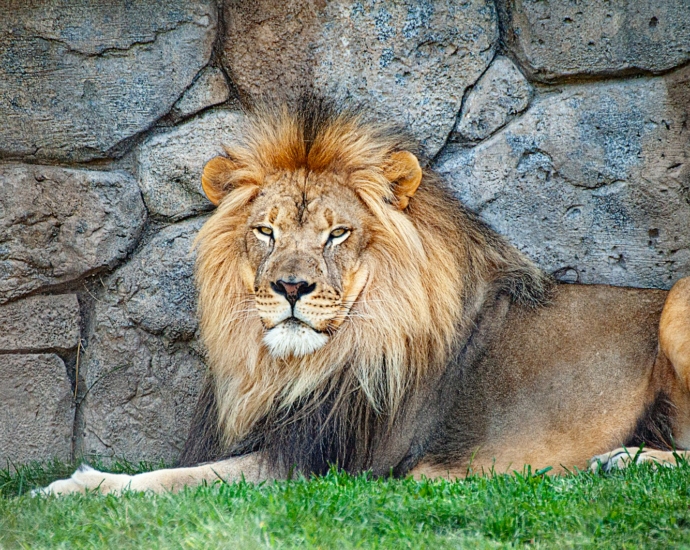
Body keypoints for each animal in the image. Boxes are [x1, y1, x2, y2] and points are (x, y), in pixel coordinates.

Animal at [40, 98, 688, 496]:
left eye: (337, 234)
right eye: (266, 231)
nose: (291, 287)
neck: (295, 368)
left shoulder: (323, 465)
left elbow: (179, 479)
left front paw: (76, 485)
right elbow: (181, 471)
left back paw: (622, 461)